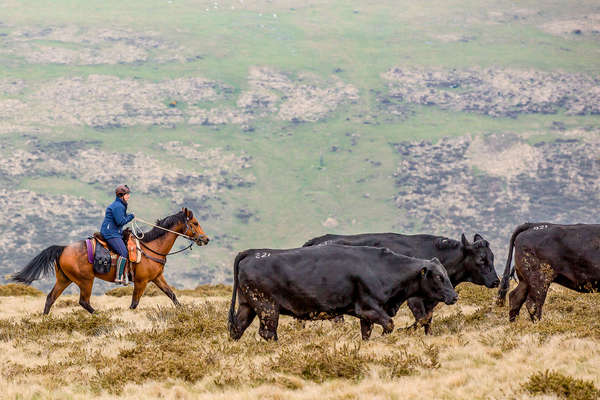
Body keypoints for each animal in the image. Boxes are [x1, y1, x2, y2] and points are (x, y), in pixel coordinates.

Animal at [12, 208, 209, 314]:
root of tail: (63, 248)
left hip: (64, 279)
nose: (206, 239)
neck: (150, 247)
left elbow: (172, 296)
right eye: (196, 223)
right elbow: (134, 304)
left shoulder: (157, 278)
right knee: (83, 302)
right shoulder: (141, 281)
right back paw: (99, 315)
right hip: (85, 280)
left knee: (50, 298)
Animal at [227, 245, 458, 342]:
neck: (382, 268)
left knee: (237, 328)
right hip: (267, 307)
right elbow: (389, 326)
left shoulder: (367, 316)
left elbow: (367, 333)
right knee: (267, 333)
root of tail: (253, 252)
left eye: (446, 274)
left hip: (248, 306)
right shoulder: (368, 308)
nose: (454, 296)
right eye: (439, 277)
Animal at [302, 233, 500, 332]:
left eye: (492, 257)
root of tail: (316, 241)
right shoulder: (415, 299)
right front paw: (404, 331)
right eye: (481, 259)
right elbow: (422, 318)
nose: (496, 281)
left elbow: (428, 320)